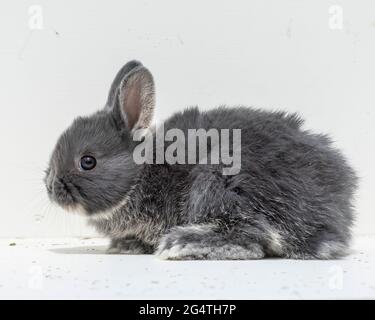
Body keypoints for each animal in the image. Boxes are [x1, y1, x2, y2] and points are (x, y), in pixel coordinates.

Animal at [45, 60, 360, 260]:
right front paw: (126, 246)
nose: (50, 187)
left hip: (214, 183)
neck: (143, 173)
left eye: (87, 161)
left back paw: (182, 244)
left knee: (253, 236)